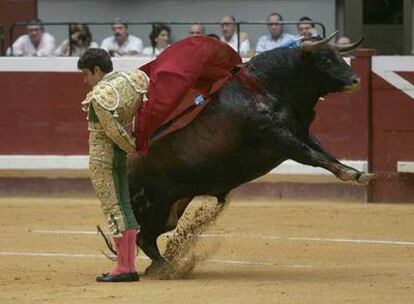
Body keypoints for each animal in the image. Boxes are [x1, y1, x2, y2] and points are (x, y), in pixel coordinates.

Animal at [127, 32, 372, 274]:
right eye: (325, 59)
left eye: (338, 55)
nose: (356, 80)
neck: (265, 89)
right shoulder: (281, 140)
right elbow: (311, 155)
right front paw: (350, 174)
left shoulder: (301, 133)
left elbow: (324, 152)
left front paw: (360, 173)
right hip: (155, 204)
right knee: (143, 238)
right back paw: (165, 268)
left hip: (172, 206)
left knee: (147, 236)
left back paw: (159, 267)